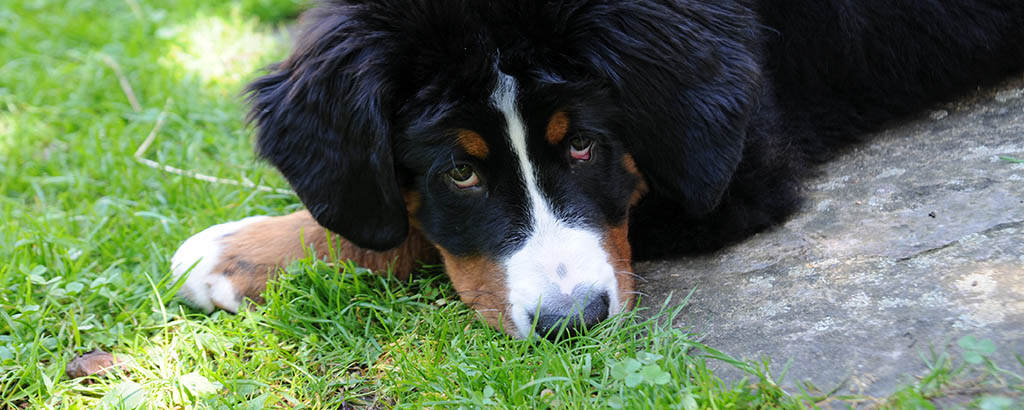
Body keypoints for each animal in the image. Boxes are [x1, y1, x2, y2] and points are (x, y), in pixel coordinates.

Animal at [172, 0, 1024, 340]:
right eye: (460, 172)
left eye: (582, 144)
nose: (571, 322)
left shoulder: (735, 168)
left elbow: (405, 233)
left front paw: (231, 254)